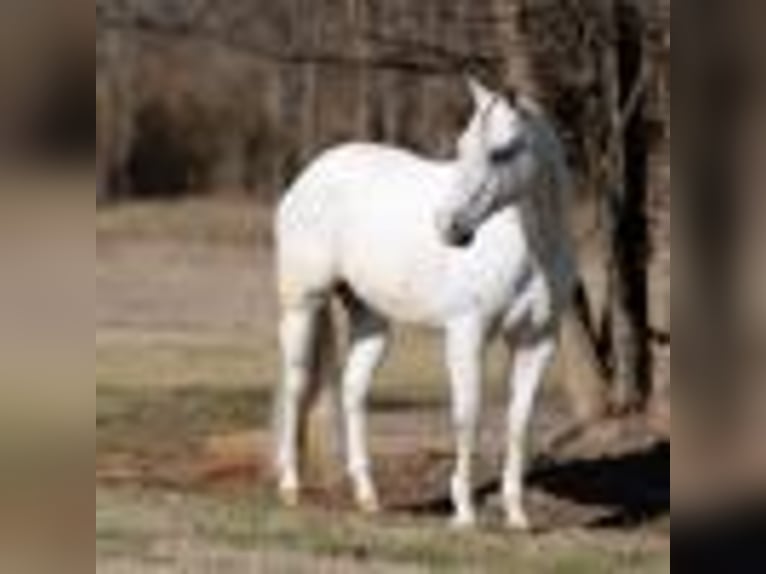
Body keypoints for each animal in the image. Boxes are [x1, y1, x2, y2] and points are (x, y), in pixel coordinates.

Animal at [274, 76, 576, 532]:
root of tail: (312, 173)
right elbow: (467, 415)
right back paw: (290, 487)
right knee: (296, 386)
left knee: (353, 392)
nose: (448, 227)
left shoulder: (538, 341)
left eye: (501, 151)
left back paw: (368, 497)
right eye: (462, 145)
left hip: (371, 319)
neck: (531, 247)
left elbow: (519, 424)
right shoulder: (467, 332)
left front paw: (517, 516)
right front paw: (464, 513)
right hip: (303, 306)